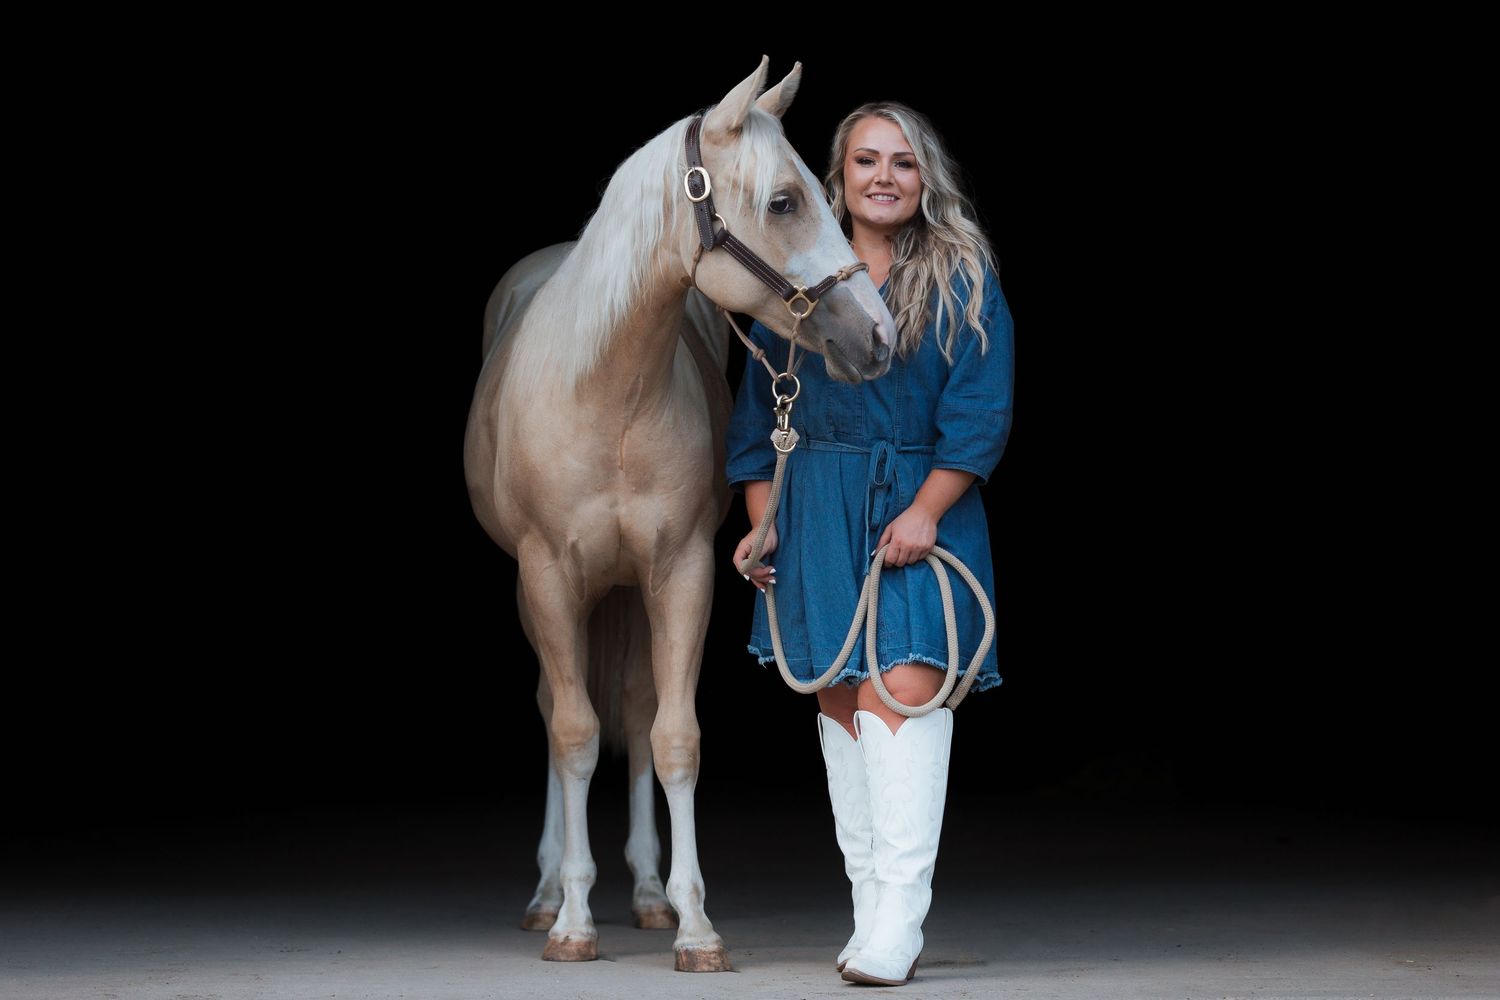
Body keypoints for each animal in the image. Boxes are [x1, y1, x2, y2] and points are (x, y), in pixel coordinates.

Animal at [463, 56, 896, 972]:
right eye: (783, 202)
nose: (877, 339)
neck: (608, 394)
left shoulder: (683, 572)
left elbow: (671, 736)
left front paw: (695, 924)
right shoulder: (549, 575)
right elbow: (574, 733)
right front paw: (573, 921)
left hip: (629, 588)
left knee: (631, 704)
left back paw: (649, 894)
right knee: (557, 709)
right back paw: (548, 892)